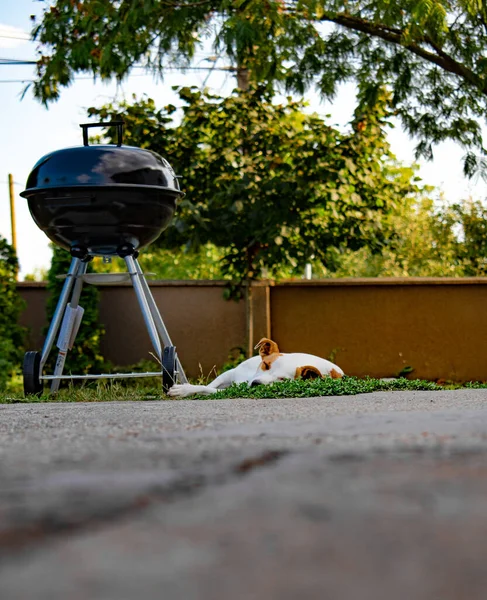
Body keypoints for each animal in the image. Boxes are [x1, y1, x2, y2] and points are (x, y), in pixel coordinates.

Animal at [170, 338, 346, 398]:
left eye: (282, 379)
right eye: (266, 365)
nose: (255, 384)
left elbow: (206, 388)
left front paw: (183, 390)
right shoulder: (229, 374)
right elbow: (210, 384)